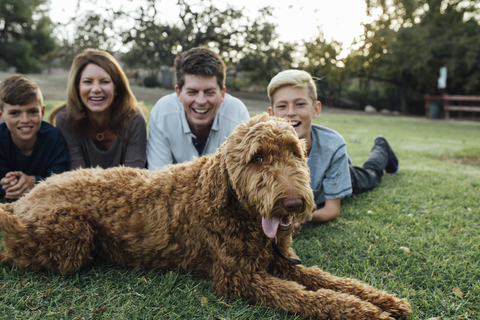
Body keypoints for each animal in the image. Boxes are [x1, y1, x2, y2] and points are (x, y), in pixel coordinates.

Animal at [0, 114, 412, 318]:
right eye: (257, 158)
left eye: (295, 153)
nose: (294, 204)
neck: (230, 201)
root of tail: (28, 198)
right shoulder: (239, 277)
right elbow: (303, 295)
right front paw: (363, 312)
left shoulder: (280, 261)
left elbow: (326, 280)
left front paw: (382, 300)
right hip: (73, 234)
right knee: (19, 246)